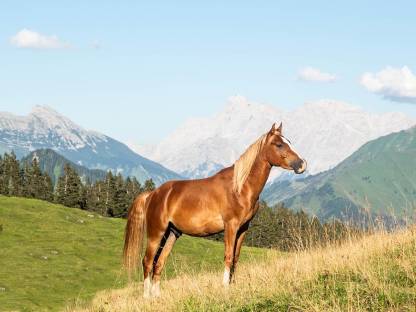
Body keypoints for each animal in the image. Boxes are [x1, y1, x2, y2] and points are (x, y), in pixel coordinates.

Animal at [122, 121, 306, 298]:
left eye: (289, 141)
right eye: (279, 144)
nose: (302, 164)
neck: (239, 188)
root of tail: (153, 194)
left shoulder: (243, 228)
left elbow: (236, 258)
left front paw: (233, 285)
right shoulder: (231, 226)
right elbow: (228, 256)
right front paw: (225, 287)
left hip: (172, 233)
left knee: (159, 263)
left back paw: (157, 297)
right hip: (156, 233)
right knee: (147, 261)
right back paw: (147, 297)